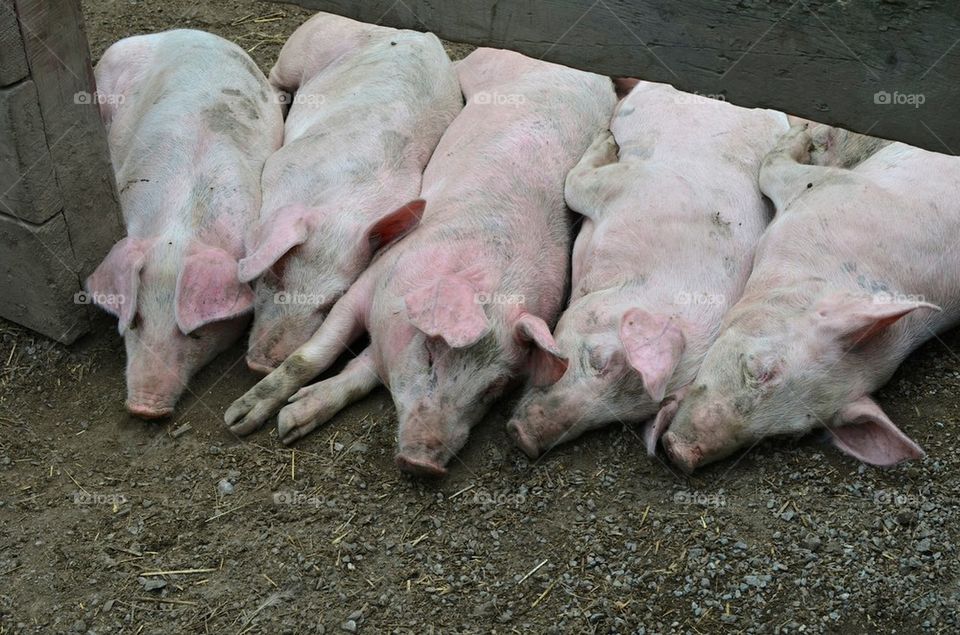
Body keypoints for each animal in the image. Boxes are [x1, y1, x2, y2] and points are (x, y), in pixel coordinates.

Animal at [239, 13, 463, 372]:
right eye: (275, 275)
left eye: (332, 302)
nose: (261, 366)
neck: (342, 202)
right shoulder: (281, 161)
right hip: (301, 49)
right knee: (276, 77)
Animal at [505, 81, 789, 458]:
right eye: (599, 360)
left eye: (621, 415)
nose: (525, 438)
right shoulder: (631, 182)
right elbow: (574, 184)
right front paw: (607, 140)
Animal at [660, 123, 960, 471]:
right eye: (759, 370)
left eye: (787, 433)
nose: (681, 454)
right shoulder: (829, 187)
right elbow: (770, 167)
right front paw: (803, 131)